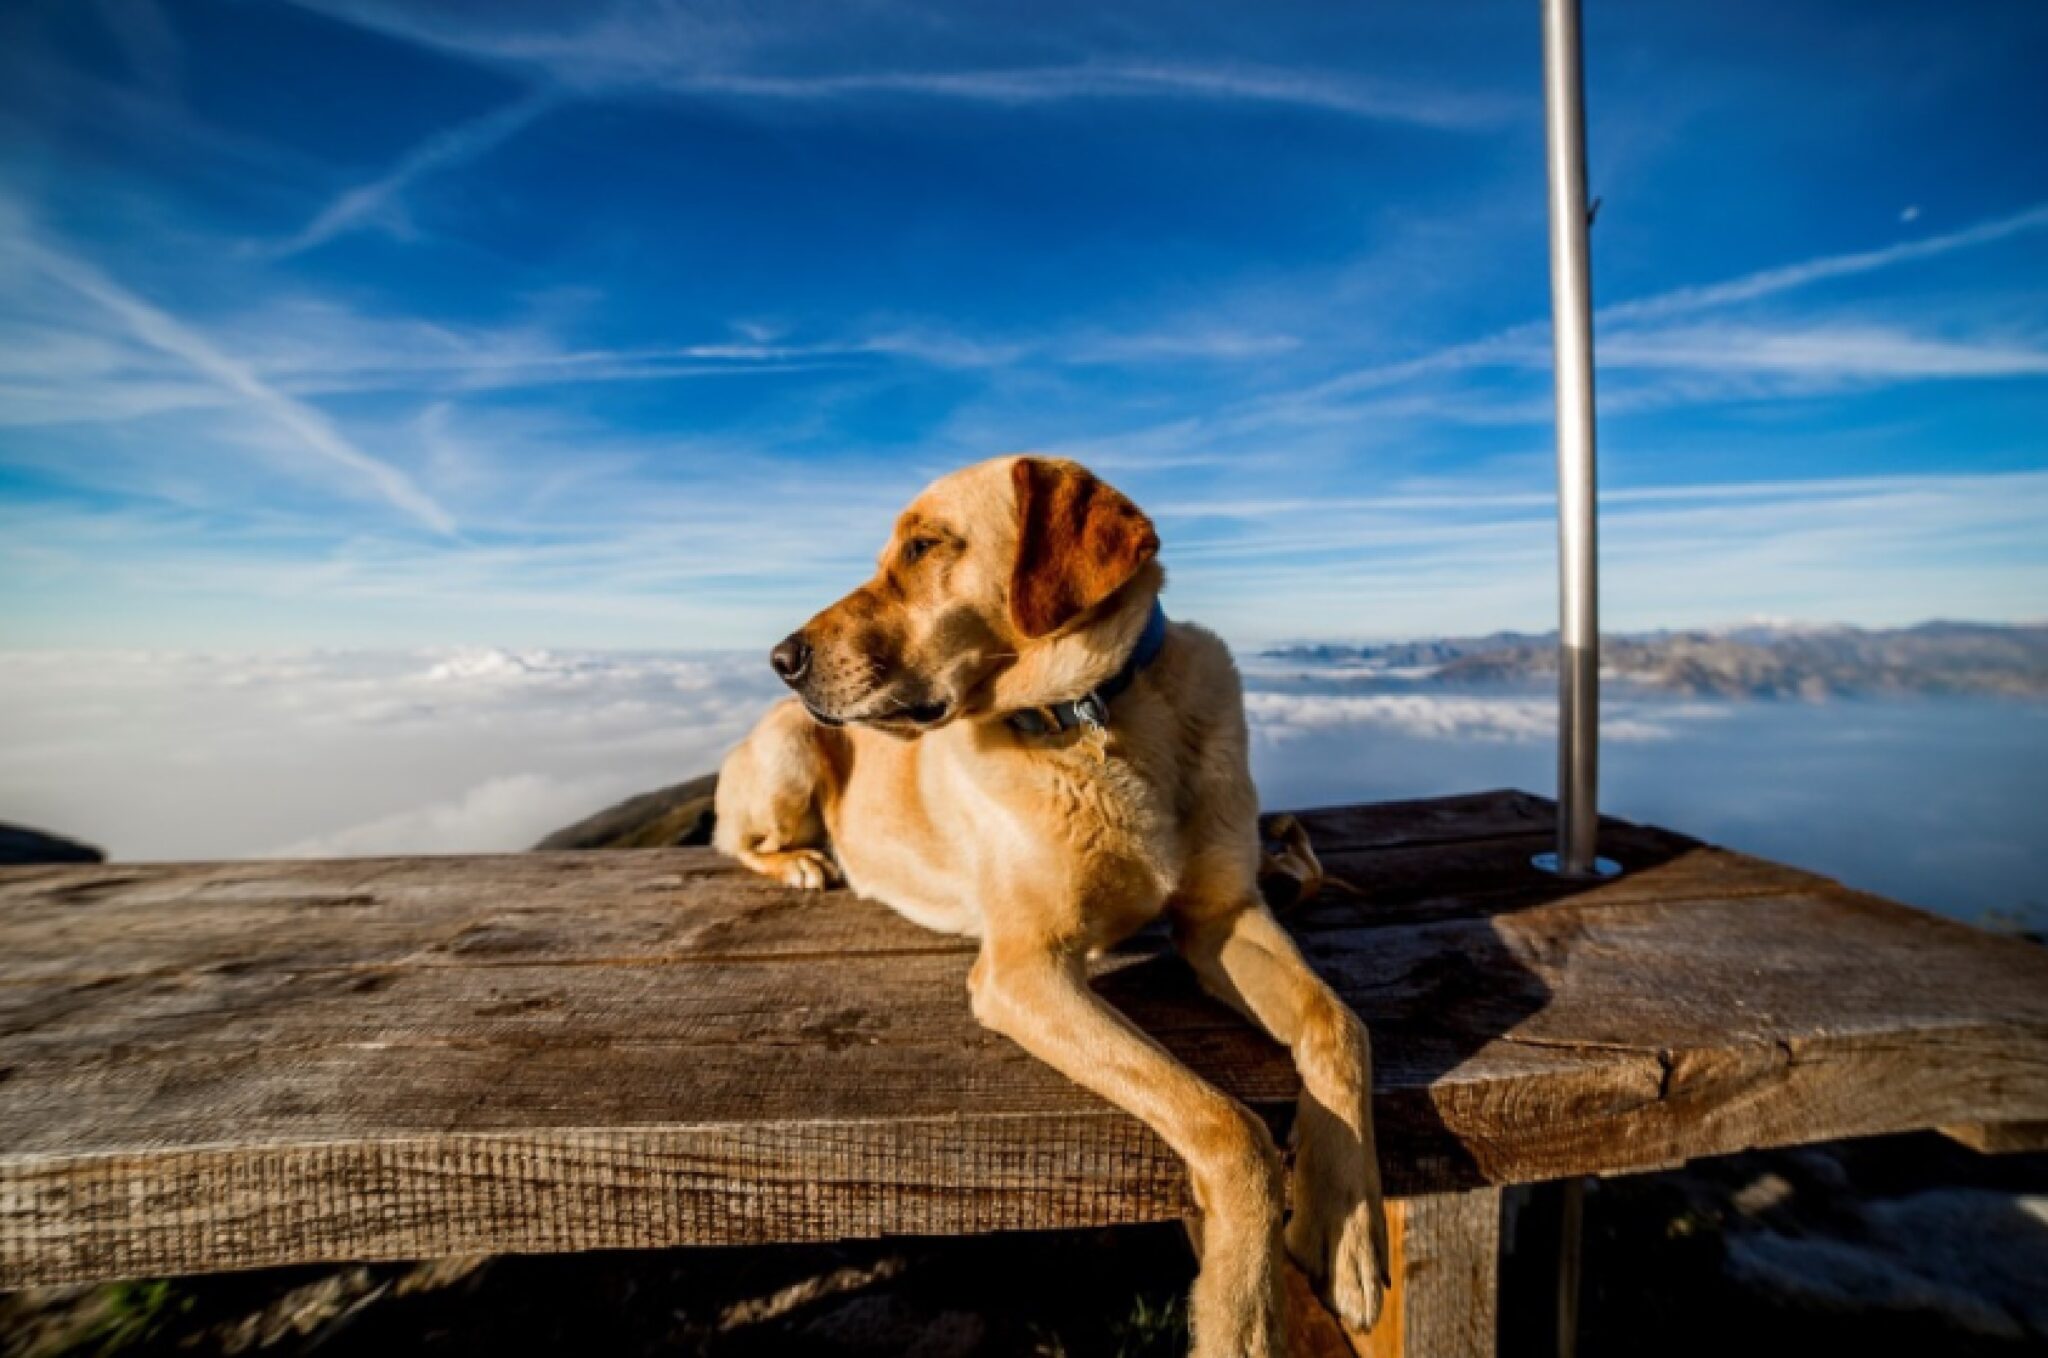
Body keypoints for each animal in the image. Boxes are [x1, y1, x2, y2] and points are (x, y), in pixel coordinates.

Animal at [712, 458, 1384, 1358]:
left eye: (923, 546)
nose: (781, 656)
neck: (1094, 718)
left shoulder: (1222, 918)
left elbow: (1338, 1025)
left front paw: (1348, 1232)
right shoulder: (1022, 972)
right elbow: (1227, 1126)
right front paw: (1242, 1314)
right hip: (791, 747)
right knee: (739, 837)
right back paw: (804, 865)